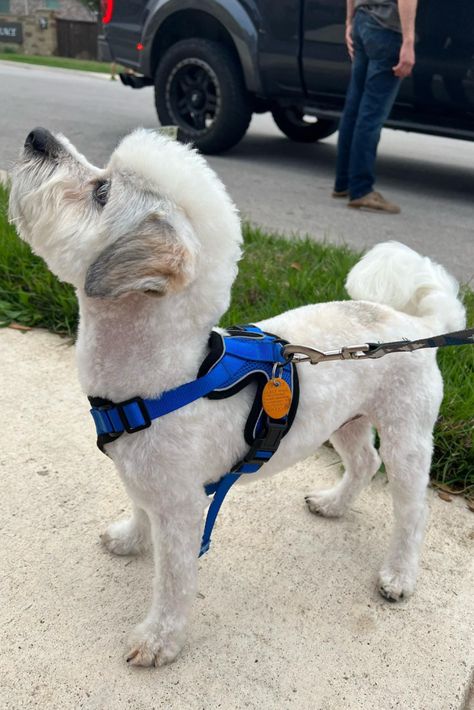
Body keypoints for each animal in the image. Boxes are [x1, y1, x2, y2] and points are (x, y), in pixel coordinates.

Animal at [9, 128, 464, 668]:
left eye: (102, 191)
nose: (38, 136)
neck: (167, 378)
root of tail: (418, 324)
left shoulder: (182, 509)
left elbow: (174, 581)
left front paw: (160, 640)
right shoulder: (147, 481)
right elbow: (139, 509)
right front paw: (131, 538)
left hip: (407, 435)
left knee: (412, 509)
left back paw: (399, 574)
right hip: (344, 421)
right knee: (363, 461)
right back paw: (334, 504)